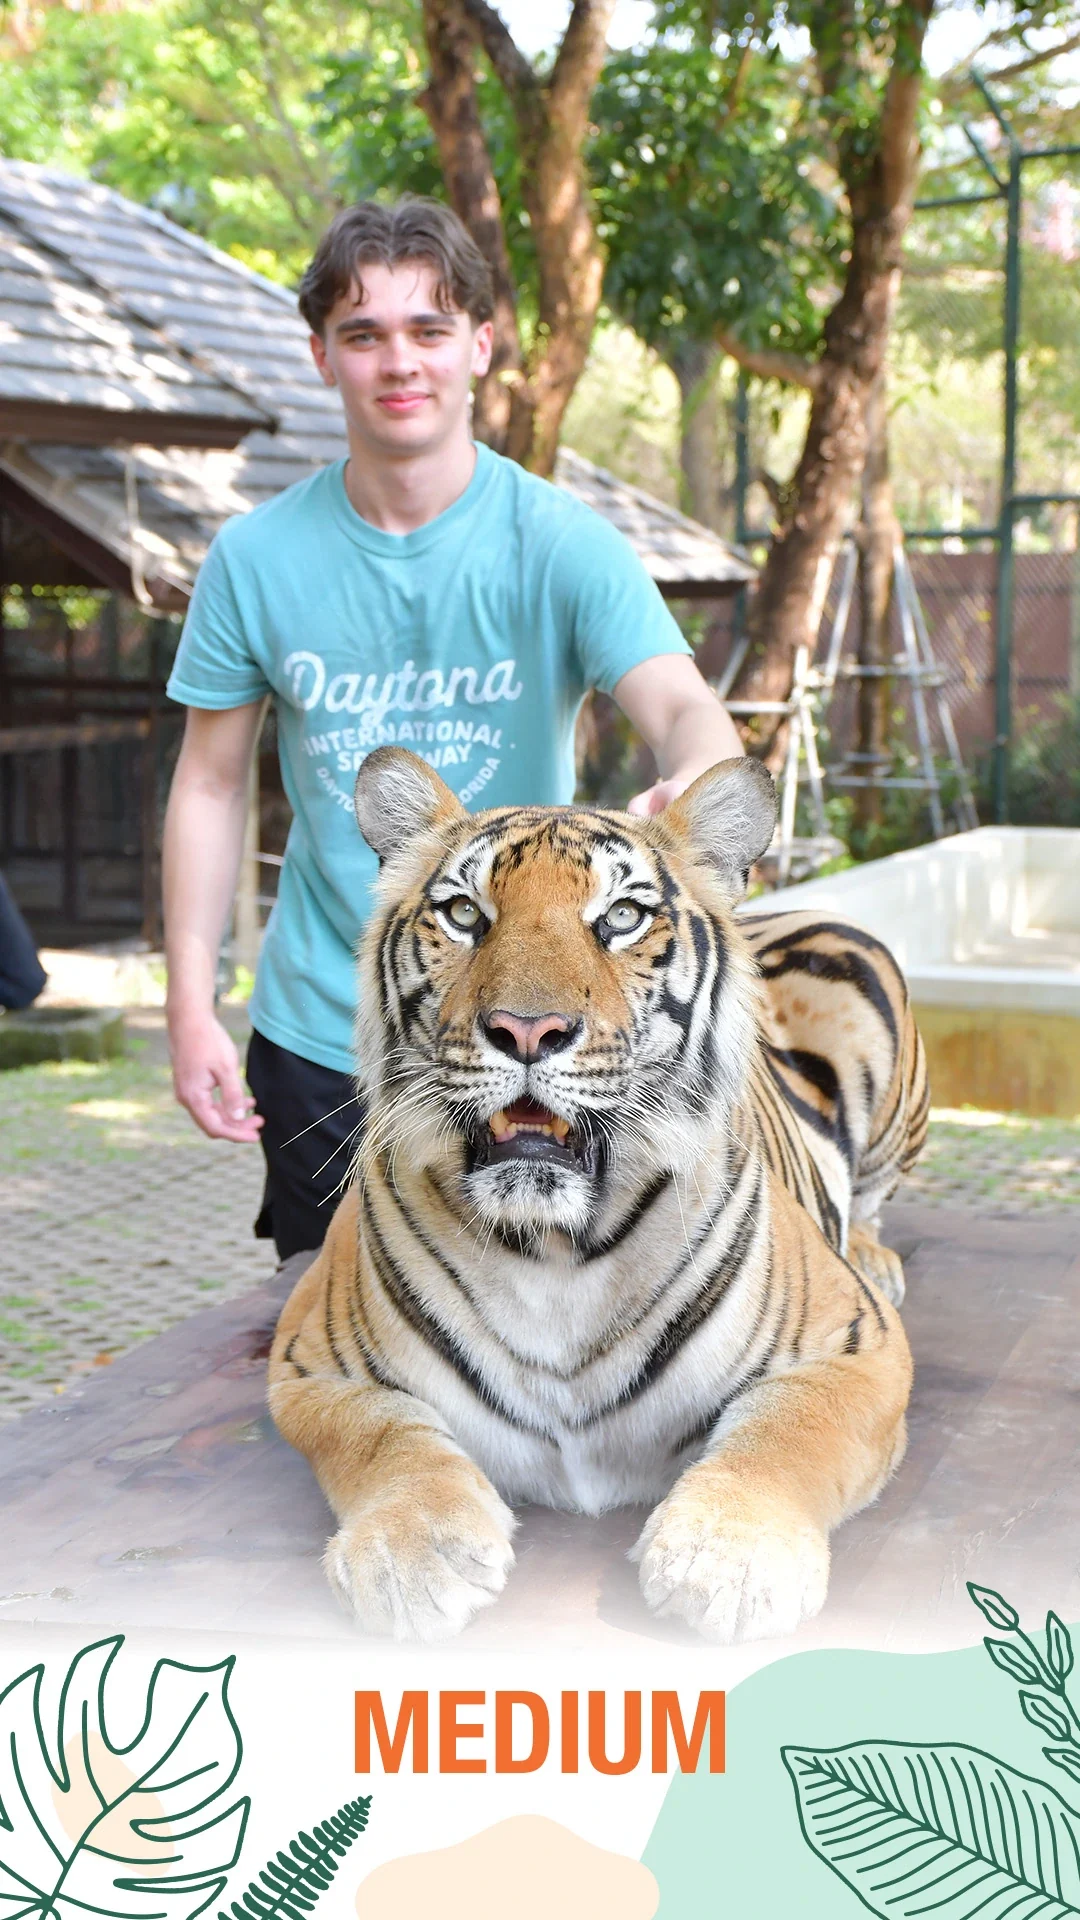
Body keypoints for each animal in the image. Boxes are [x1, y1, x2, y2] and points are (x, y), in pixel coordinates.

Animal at [269, 746, 926, 1645]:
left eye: (619, 917)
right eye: (465, 914)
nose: (526, 1031)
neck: (553, 1247)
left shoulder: (856, 1344)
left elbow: (788, 1432)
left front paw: (732, 1556)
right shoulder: (310, 1360)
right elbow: (382, 1436)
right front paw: (415, 1553)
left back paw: (872, 1250)